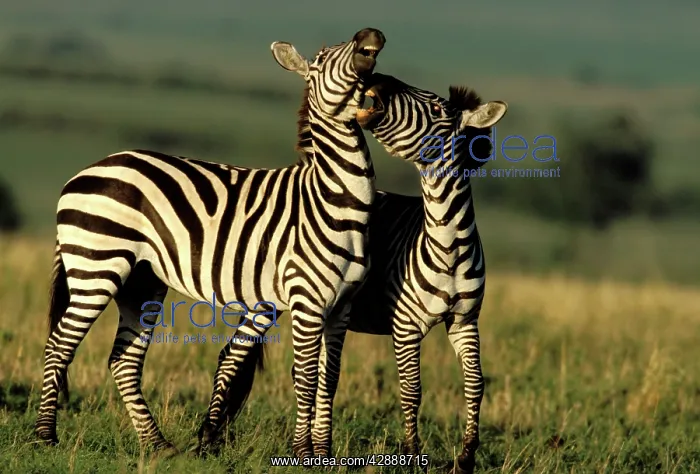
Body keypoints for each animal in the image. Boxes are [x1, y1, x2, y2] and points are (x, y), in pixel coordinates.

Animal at [34, 28, 386, 458]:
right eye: (320, 61)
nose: (369, 36)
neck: (336, 201)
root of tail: (83, 173)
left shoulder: (342, 305)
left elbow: (329, 379)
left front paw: (326, 453)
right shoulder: (307, 301)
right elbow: (305, 378)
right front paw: (304, 453)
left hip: (141, 281)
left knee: (123, 360)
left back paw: (157, 444)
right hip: (97, 265)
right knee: (59, 345)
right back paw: (46, 437)